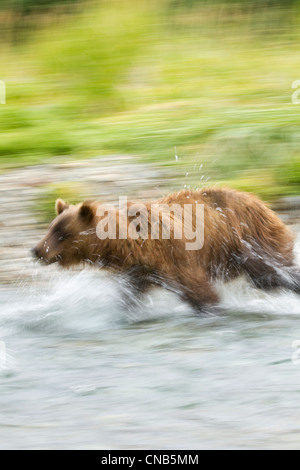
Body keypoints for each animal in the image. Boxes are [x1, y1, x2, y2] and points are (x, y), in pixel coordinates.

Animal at [32, 187, 300, 312]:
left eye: (62, 233)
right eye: (51, 227)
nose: (36, 250)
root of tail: (260, 201)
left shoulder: (177, 258)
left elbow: (202, 294)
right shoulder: (139, 272)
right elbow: (128, 297)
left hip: (251, 244)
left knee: (273, 274)